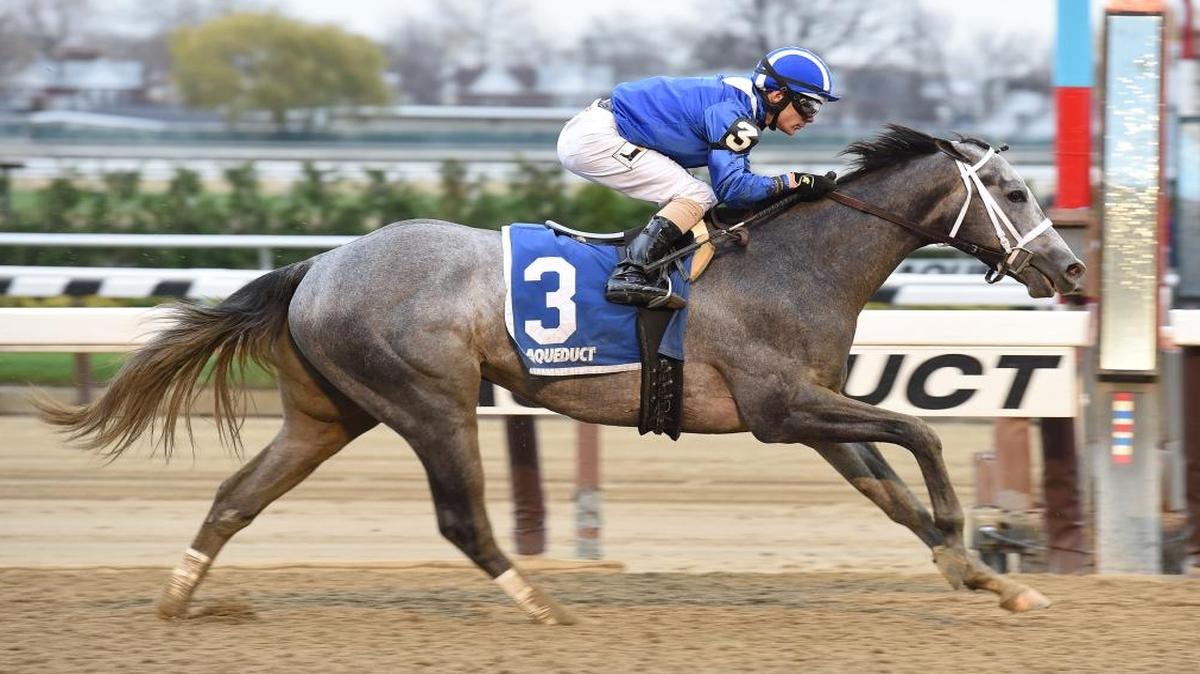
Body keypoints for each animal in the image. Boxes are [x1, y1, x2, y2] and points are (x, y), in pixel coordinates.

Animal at [39, 125, 1086, 624]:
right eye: (1015, 190)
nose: (1071, 269)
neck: (796, 263)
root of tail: (320, 265)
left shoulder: (808, 415)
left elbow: (890, 490)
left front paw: (987, 577)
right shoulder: (783, 407)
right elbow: (920, 433)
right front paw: (971, 541)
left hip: (327, 414)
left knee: (235, 496)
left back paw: (178, 601)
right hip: (429, 401)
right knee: (461, 520)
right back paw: (543, 605)